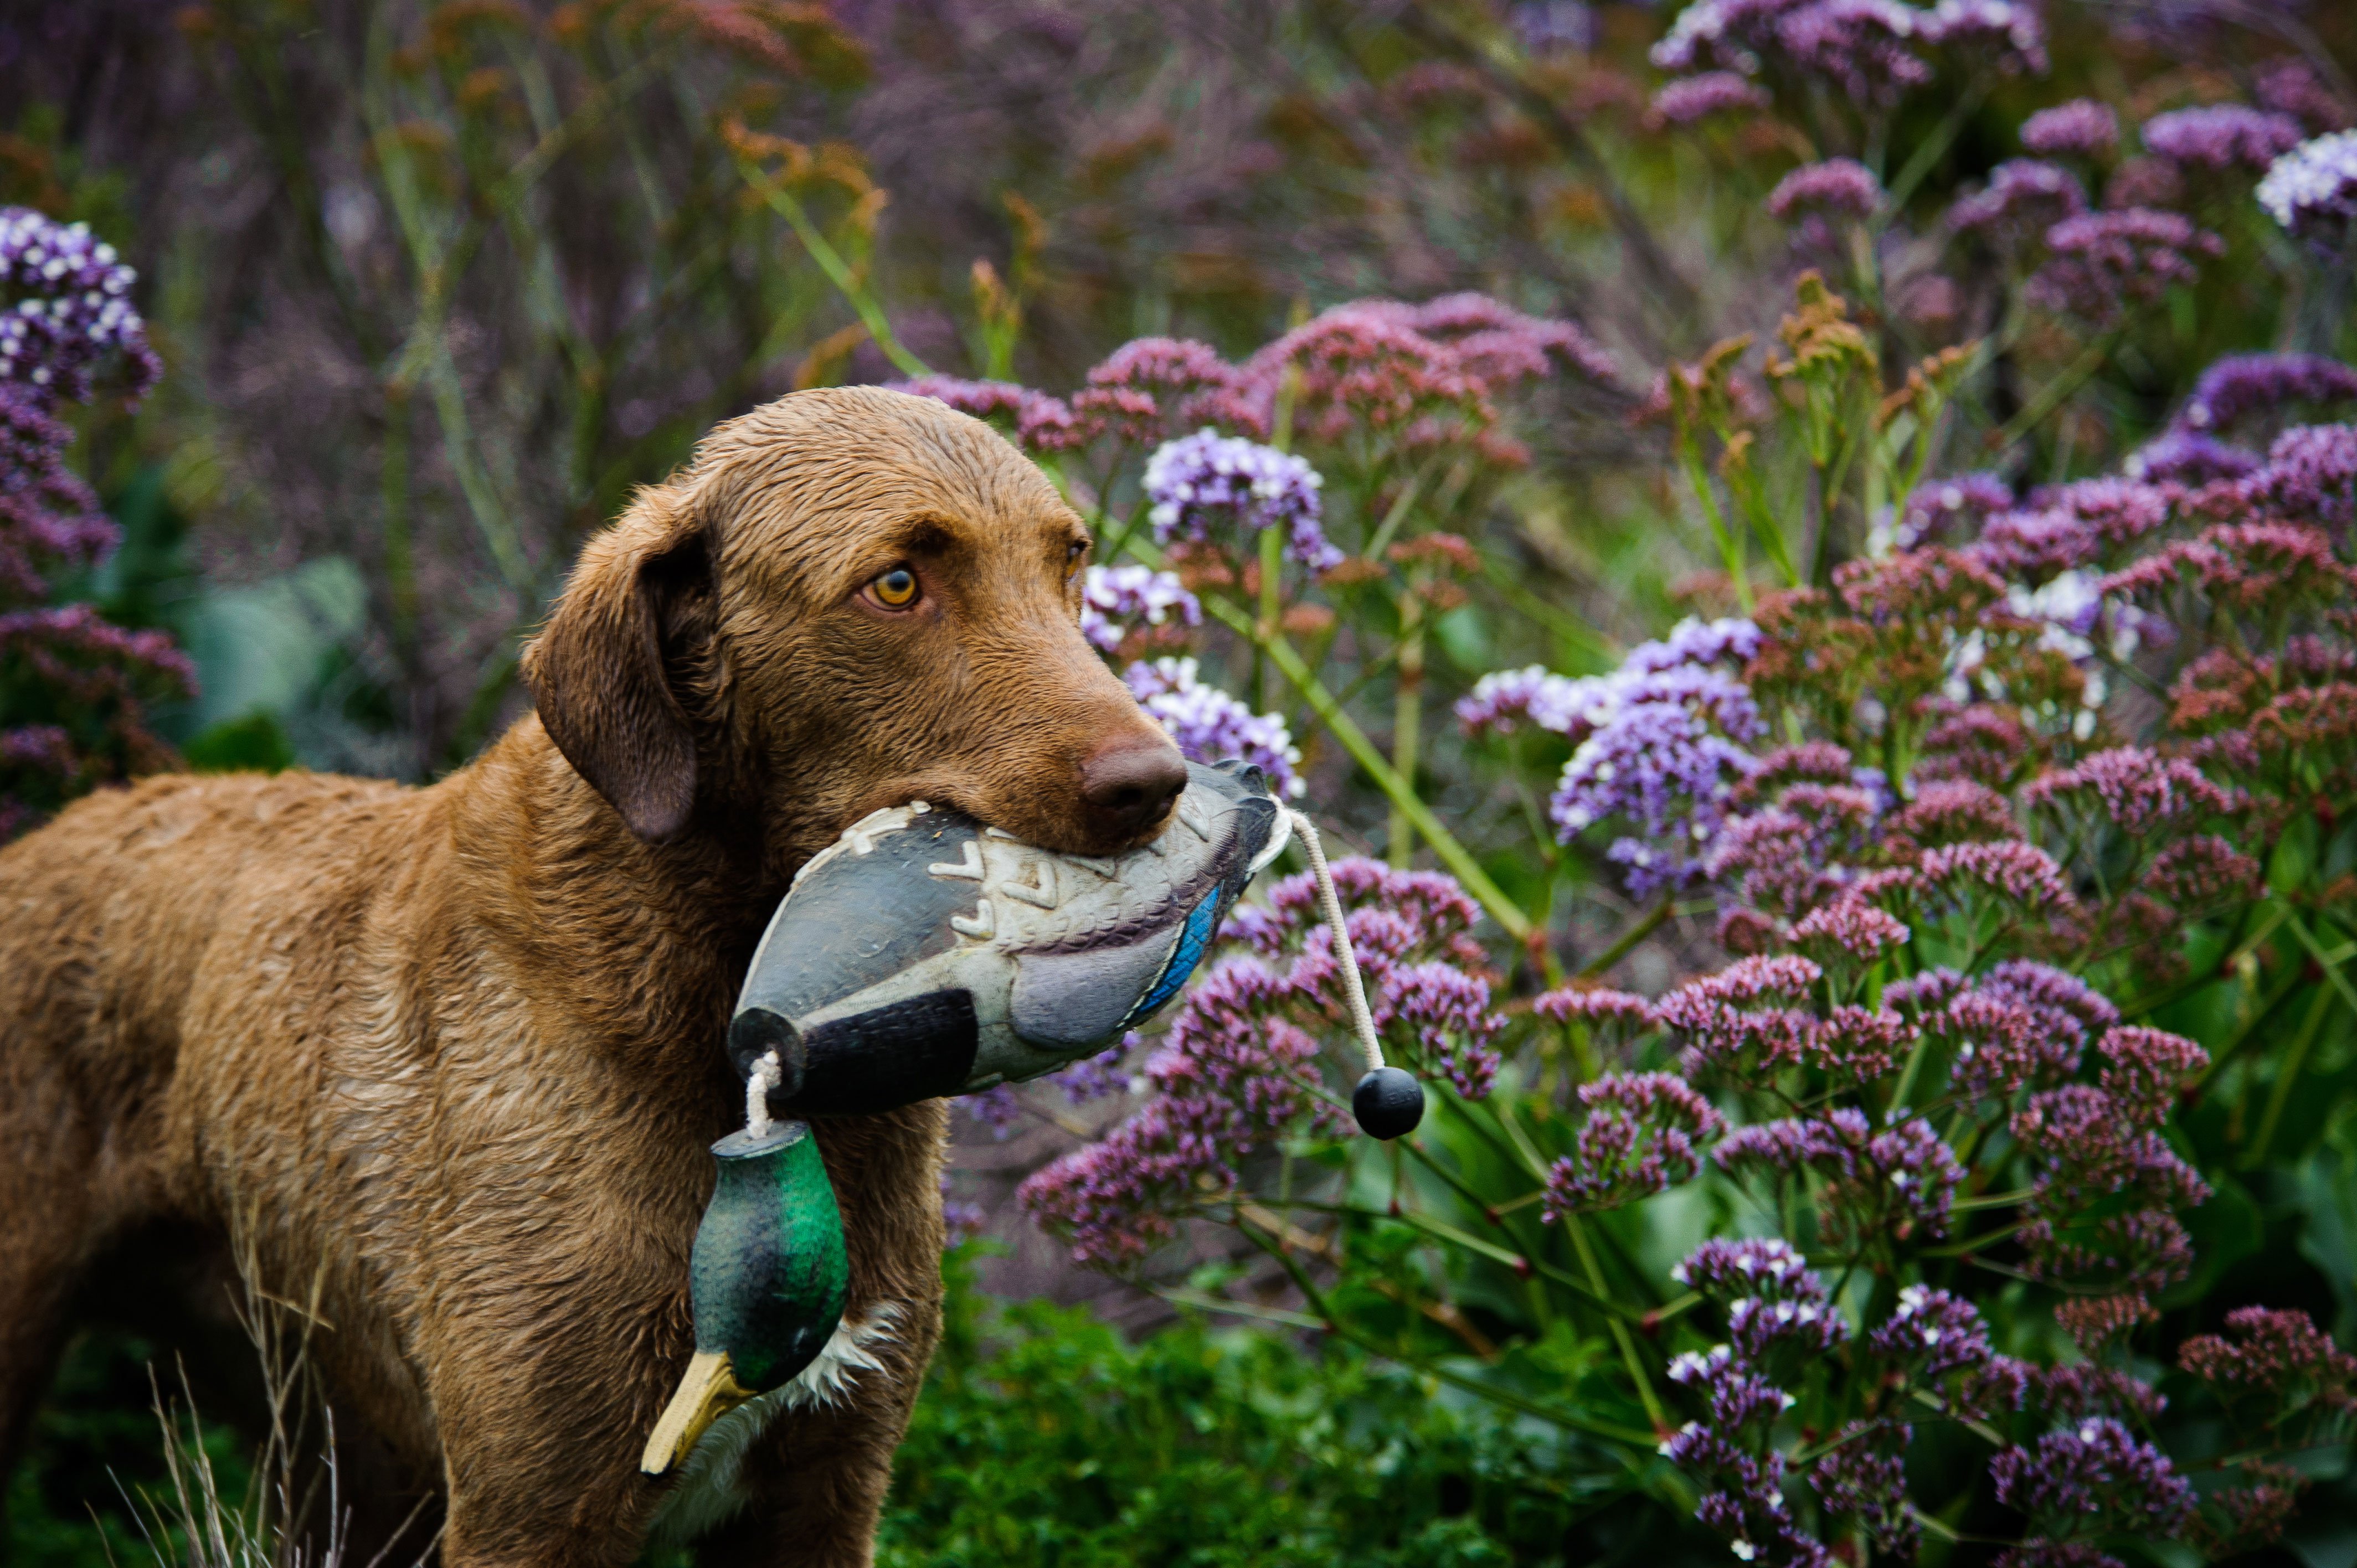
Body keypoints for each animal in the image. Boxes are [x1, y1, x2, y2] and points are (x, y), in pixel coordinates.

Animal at [0, 384, 1179, 1556]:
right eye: (896, 582)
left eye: (1070, 558)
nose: (1155, 783)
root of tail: (49, 833)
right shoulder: (532, 1506)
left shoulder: (831, 1484)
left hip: (334, 1453)